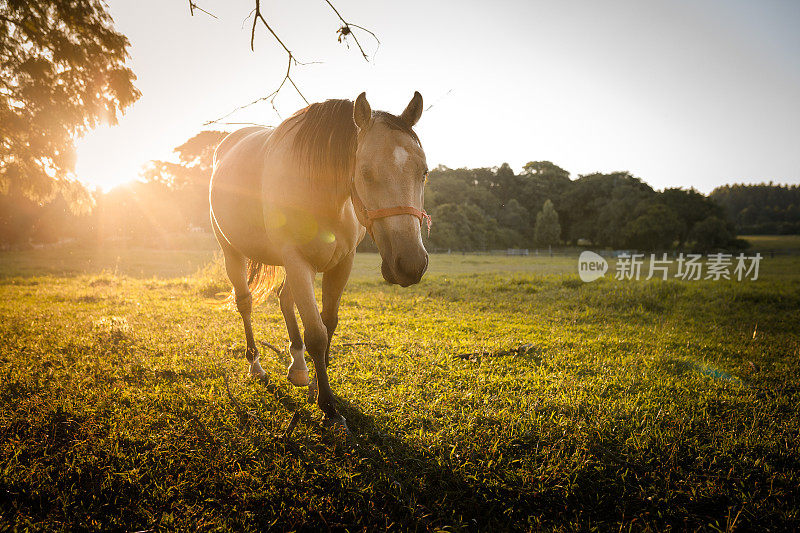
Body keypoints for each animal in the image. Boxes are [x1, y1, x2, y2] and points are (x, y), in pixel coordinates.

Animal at [209, 92, 428, 432]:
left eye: (424, 172)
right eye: (365, 173)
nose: (411, 265)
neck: (323, 196)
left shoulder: (342, 264)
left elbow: (328, 324)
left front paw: (317, 382)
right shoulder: (297, 261)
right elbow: (316, 334)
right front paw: (329, 408)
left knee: (285, 299)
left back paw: (298, 367)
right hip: (233, 252)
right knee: (245, 304)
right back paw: (256, 366)